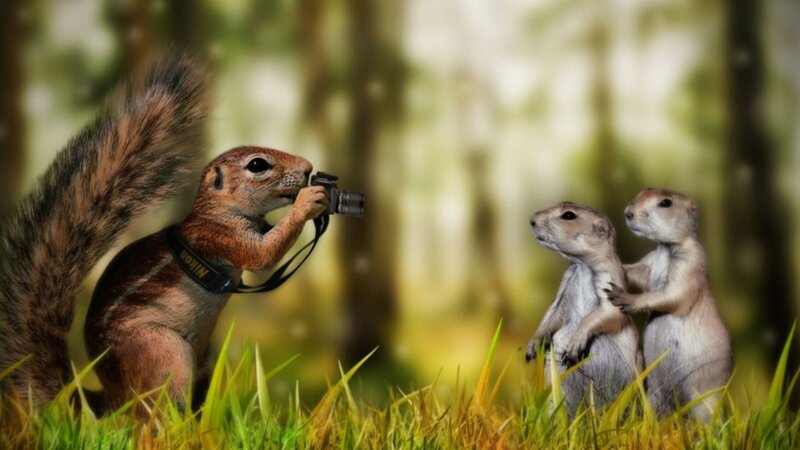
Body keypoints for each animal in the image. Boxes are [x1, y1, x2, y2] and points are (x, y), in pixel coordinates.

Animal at [525, 202, 643, 416]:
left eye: (568, 215)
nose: (531, 219)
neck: (582, 266)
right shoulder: (566, 282)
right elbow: (554, 312)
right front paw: (533, 345)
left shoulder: (609, 276)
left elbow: (607, 311)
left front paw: (573, 346)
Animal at [607, 188, 732, 421]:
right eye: (641, 191)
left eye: (666, 202)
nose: (628, 212)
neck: (666, 249)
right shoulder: (651, 260)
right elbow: (639, 272)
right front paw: (619, 266)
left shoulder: (690, 262)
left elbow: (672, 292)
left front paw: (624, 297)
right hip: (655, 394)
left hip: (705, 398)